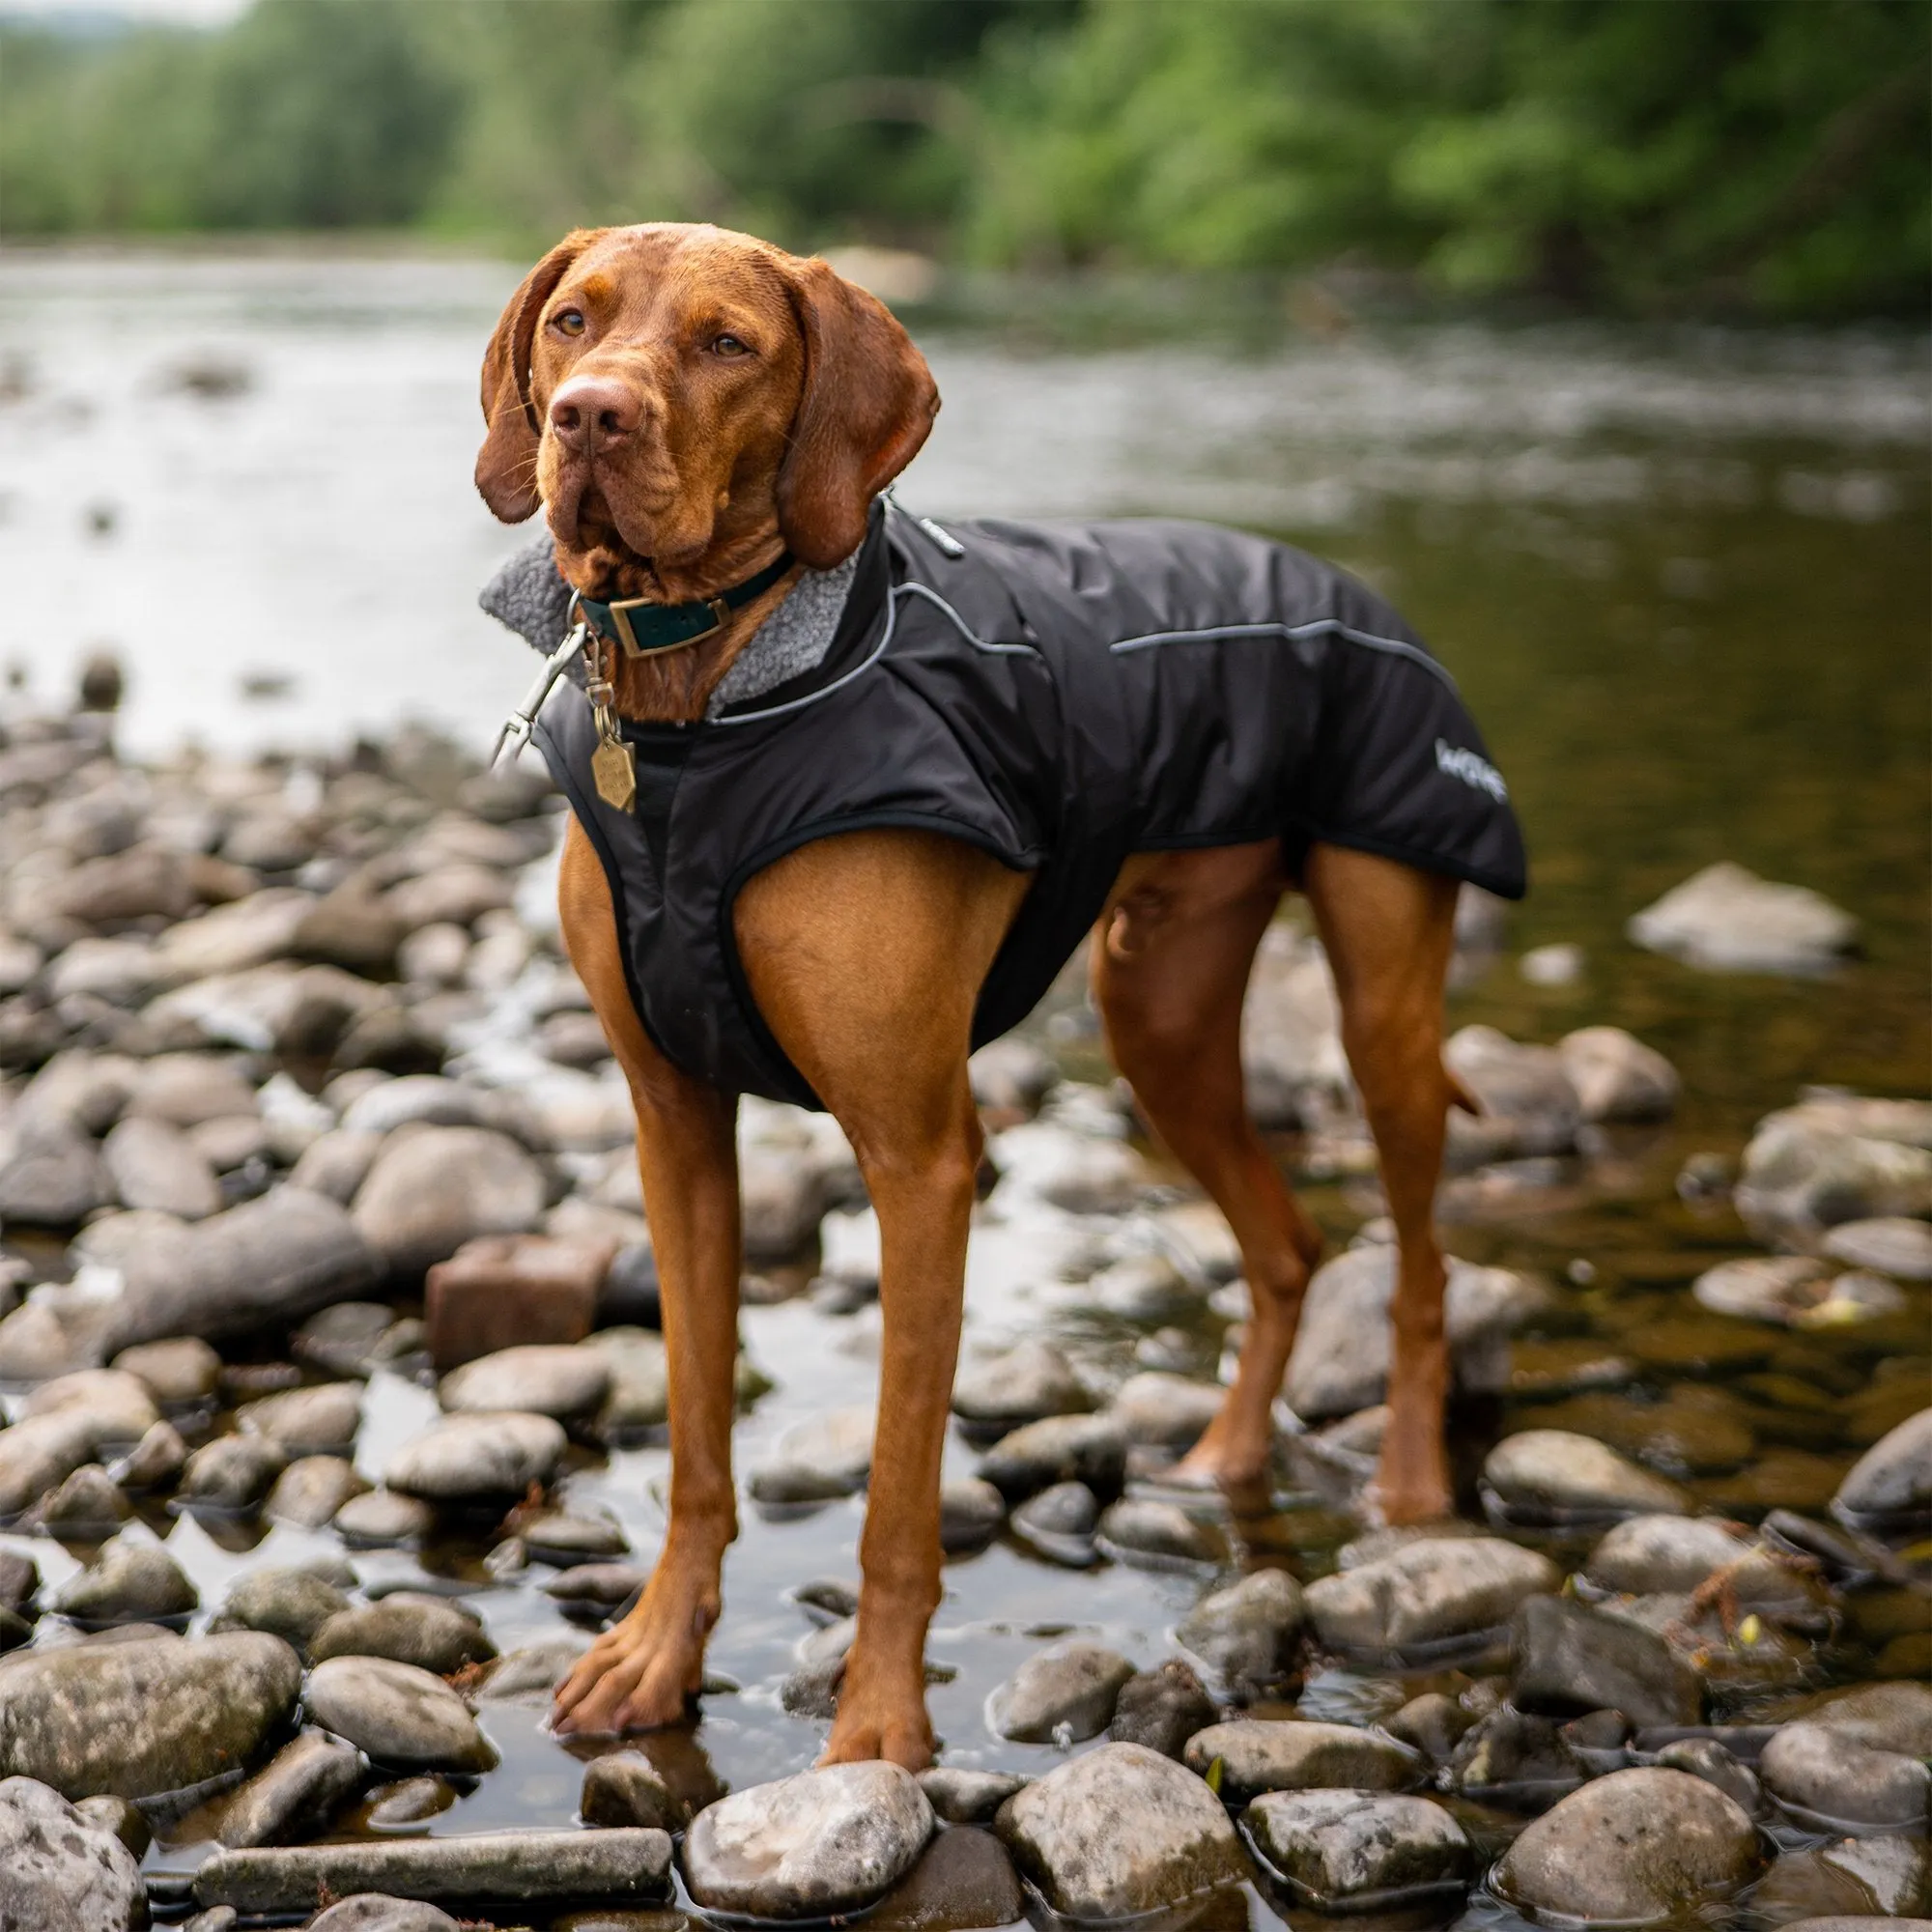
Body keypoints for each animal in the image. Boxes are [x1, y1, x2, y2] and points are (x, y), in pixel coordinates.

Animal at [471, 222, 1522, 1770]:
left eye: (729, 343)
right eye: (571, 321)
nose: (589, 418)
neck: (699, 711)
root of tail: (1342, 579)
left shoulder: (919, 1158)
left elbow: (900, 1495)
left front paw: (875, 1737)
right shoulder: (675, 1123)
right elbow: (697, 1437)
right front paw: (658, 1650)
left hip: (1383, 989)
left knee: (1419, 1271)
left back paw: (1403, 1488)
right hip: (1159, 1011)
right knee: (1284, 1247)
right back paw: (1224, 1458)